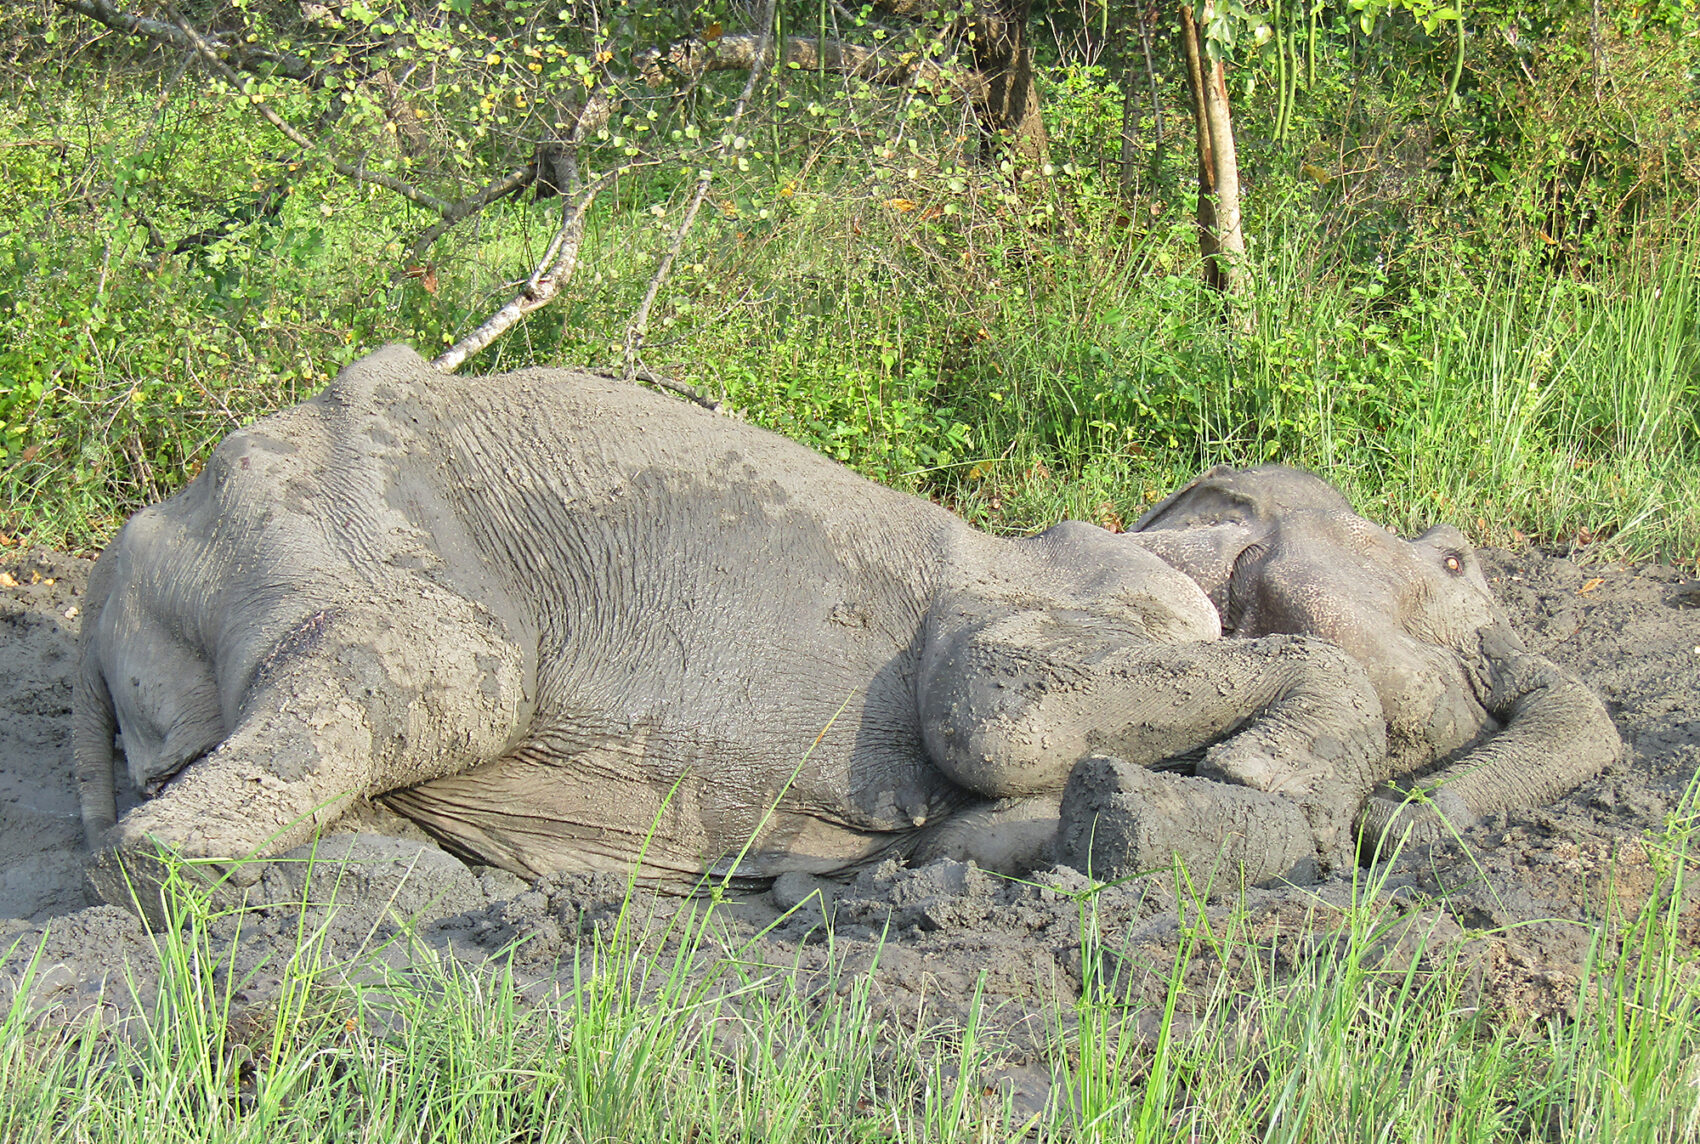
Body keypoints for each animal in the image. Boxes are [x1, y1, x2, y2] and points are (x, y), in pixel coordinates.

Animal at [72, 346, 1619, 917]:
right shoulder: (1049, 599)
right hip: (341, 535)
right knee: (401, 693)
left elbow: (987, 814)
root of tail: (127, 555)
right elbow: (992, 711)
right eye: (1454, 561)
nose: (1407, 836)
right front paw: (1253, 785)